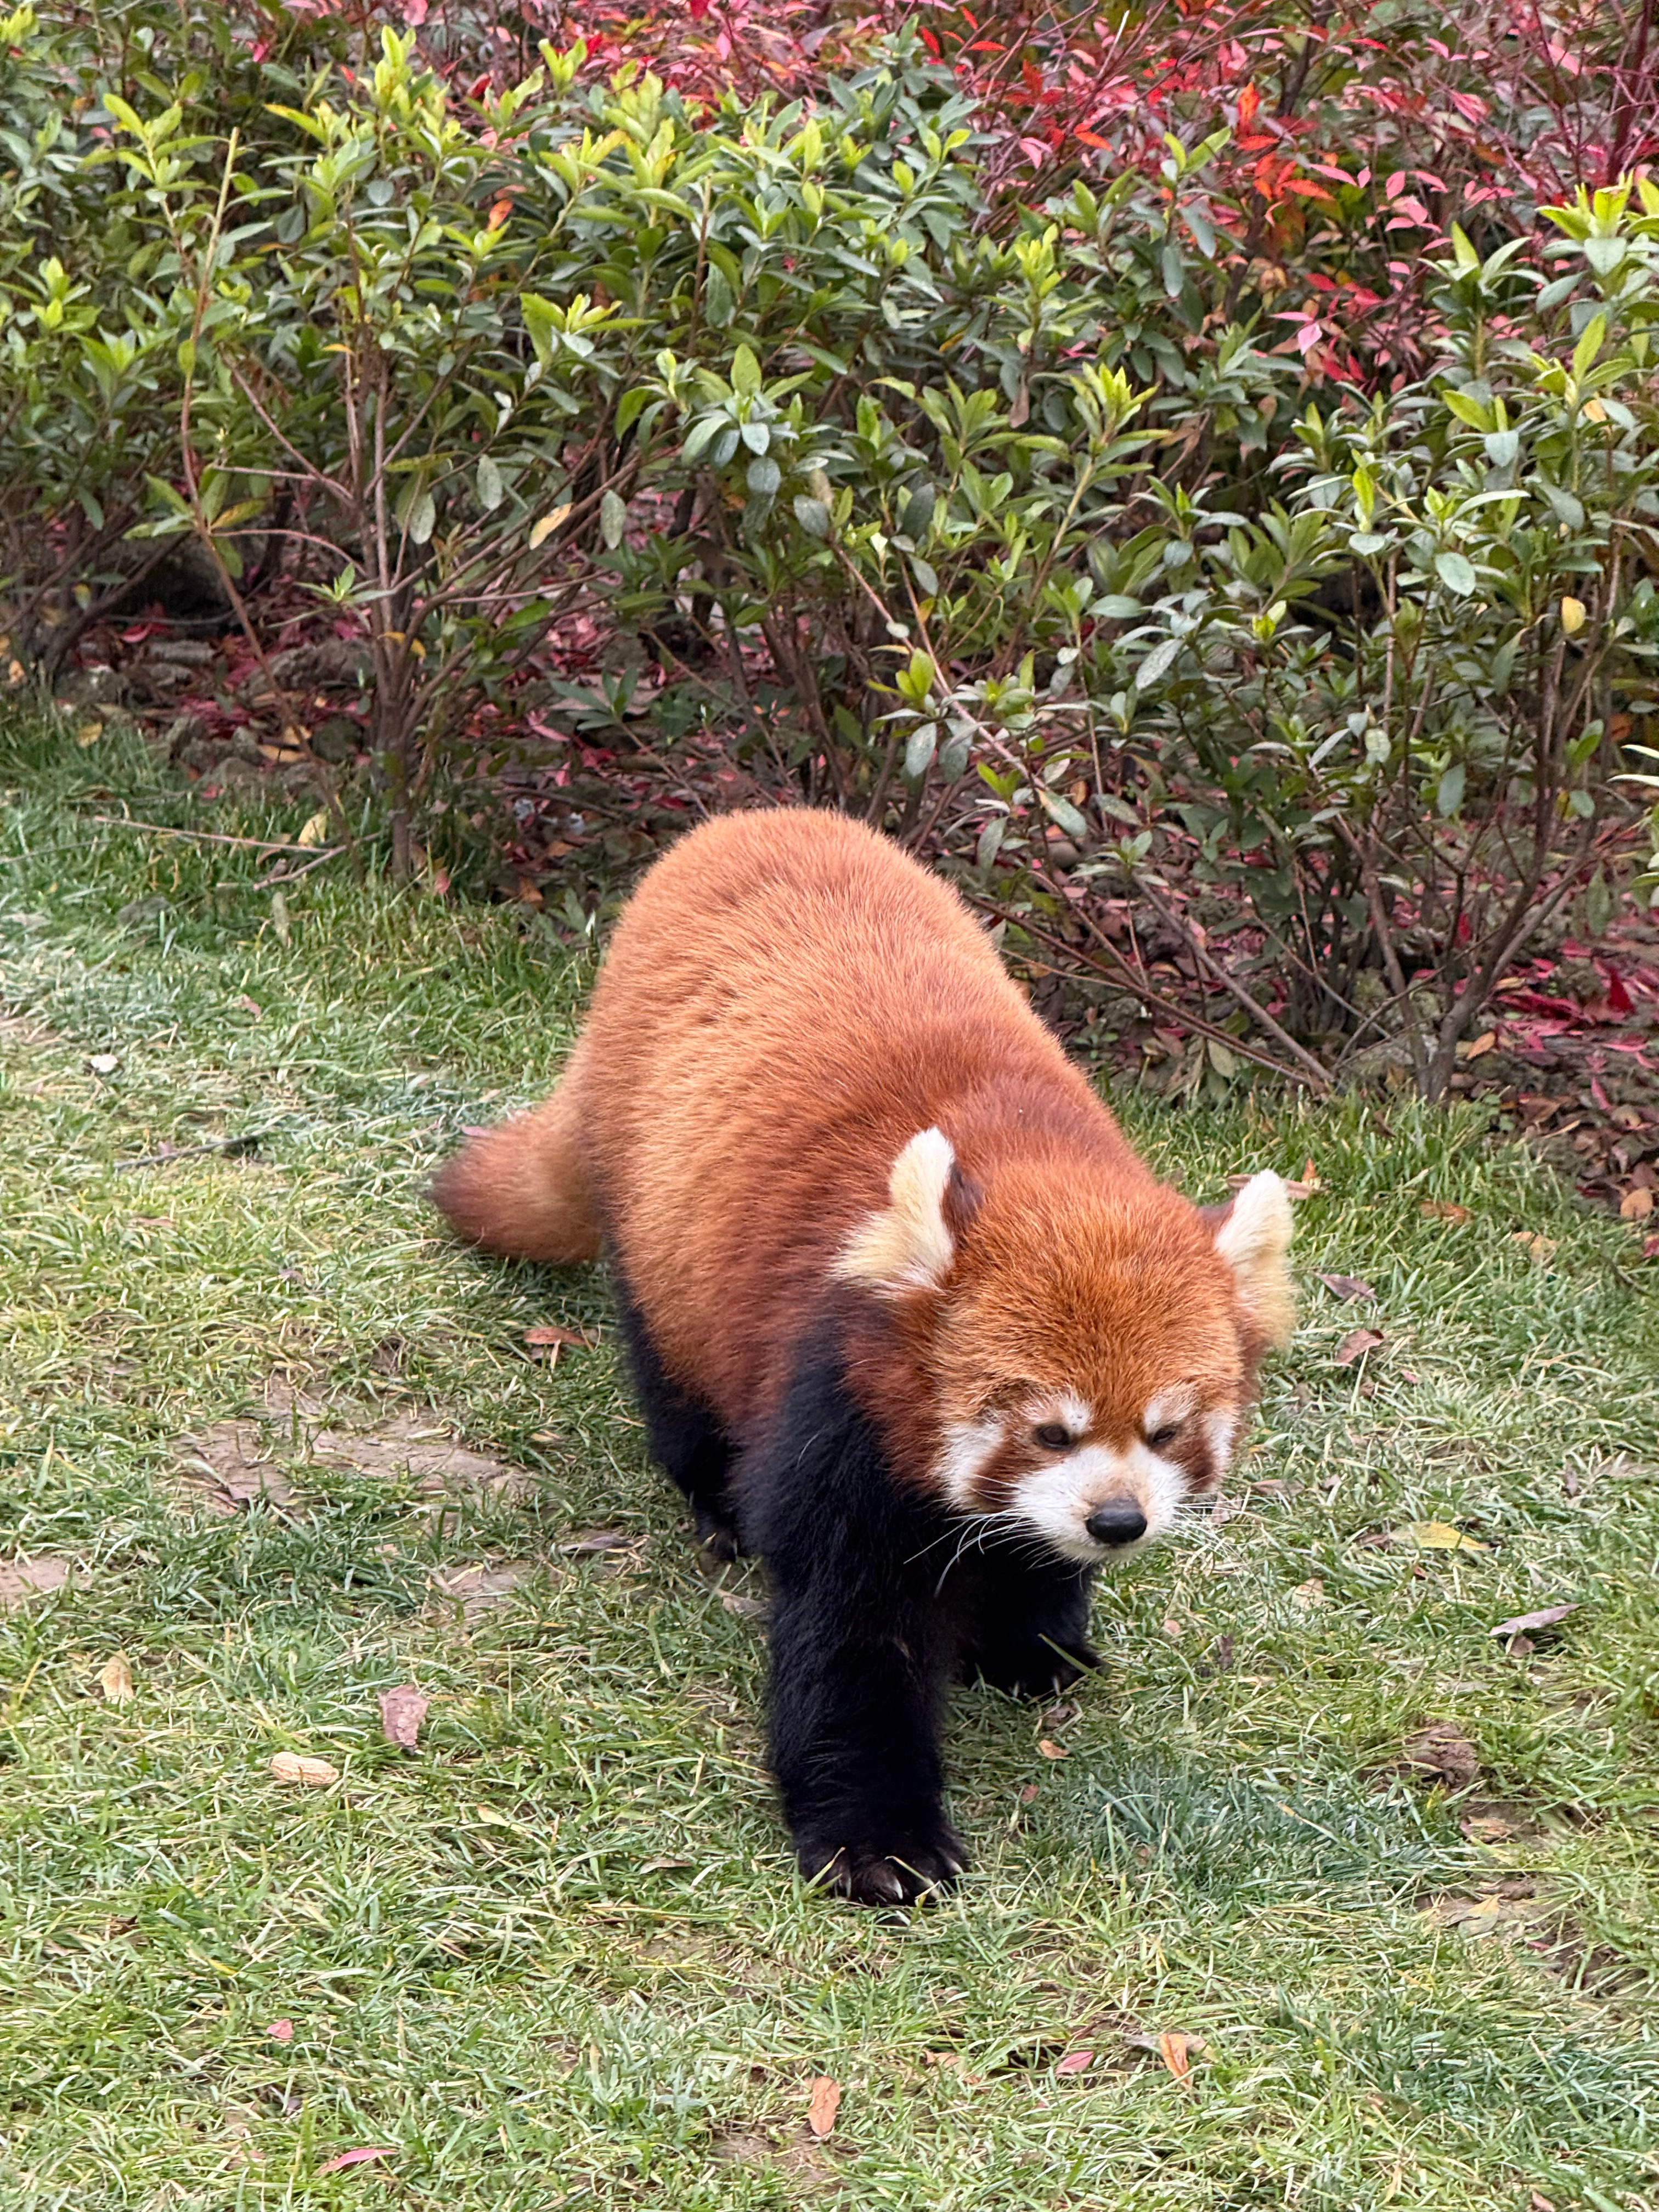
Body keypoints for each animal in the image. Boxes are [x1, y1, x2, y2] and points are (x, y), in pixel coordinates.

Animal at [431, 809, 1300, 1902]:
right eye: (1048, 1432)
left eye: (1167, 1431)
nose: (1116, 1522)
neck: (1038, 1159)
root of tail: (745, 822)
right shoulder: (835, 1398)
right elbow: (851, 1636)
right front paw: (879, 1841)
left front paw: (1033, 1641)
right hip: (661, 1230)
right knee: (673, 1370)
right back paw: (715, 1496)